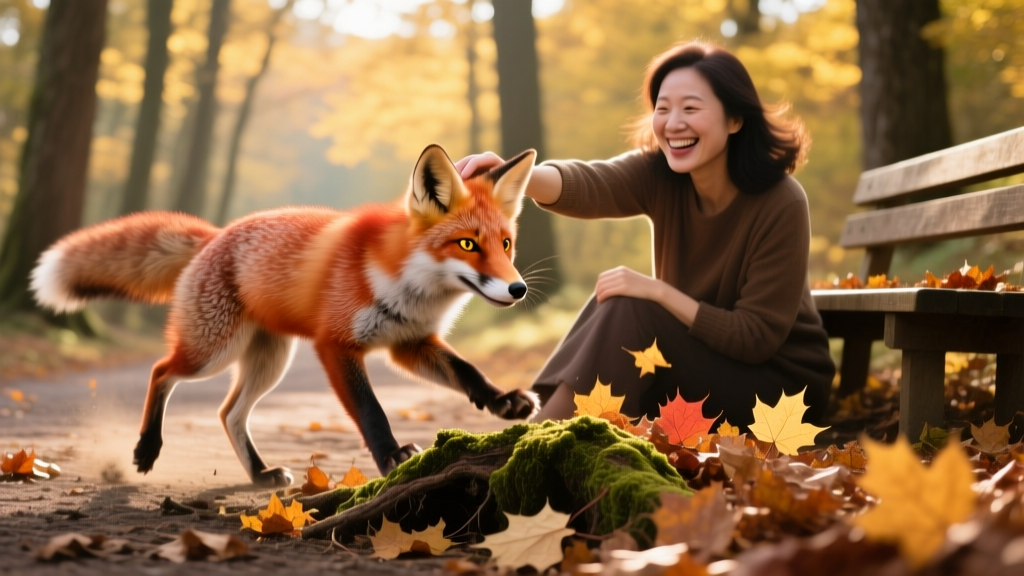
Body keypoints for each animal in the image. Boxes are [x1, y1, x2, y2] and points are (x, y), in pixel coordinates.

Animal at [30, 144, 540, 486]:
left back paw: (260, 475)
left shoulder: (409, 343)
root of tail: (216, 234)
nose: (518, 289)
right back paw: (147, 449)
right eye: (467, 244)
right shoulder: (336, 344)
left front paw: (502, 401)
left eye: (506, 244)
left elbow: (468, 371)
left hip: (268, 361)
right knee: (161, 371)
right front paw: (392, 457)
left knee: (229, 413)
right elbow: (372, 412)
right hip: (213, 352)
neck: (407, 284)